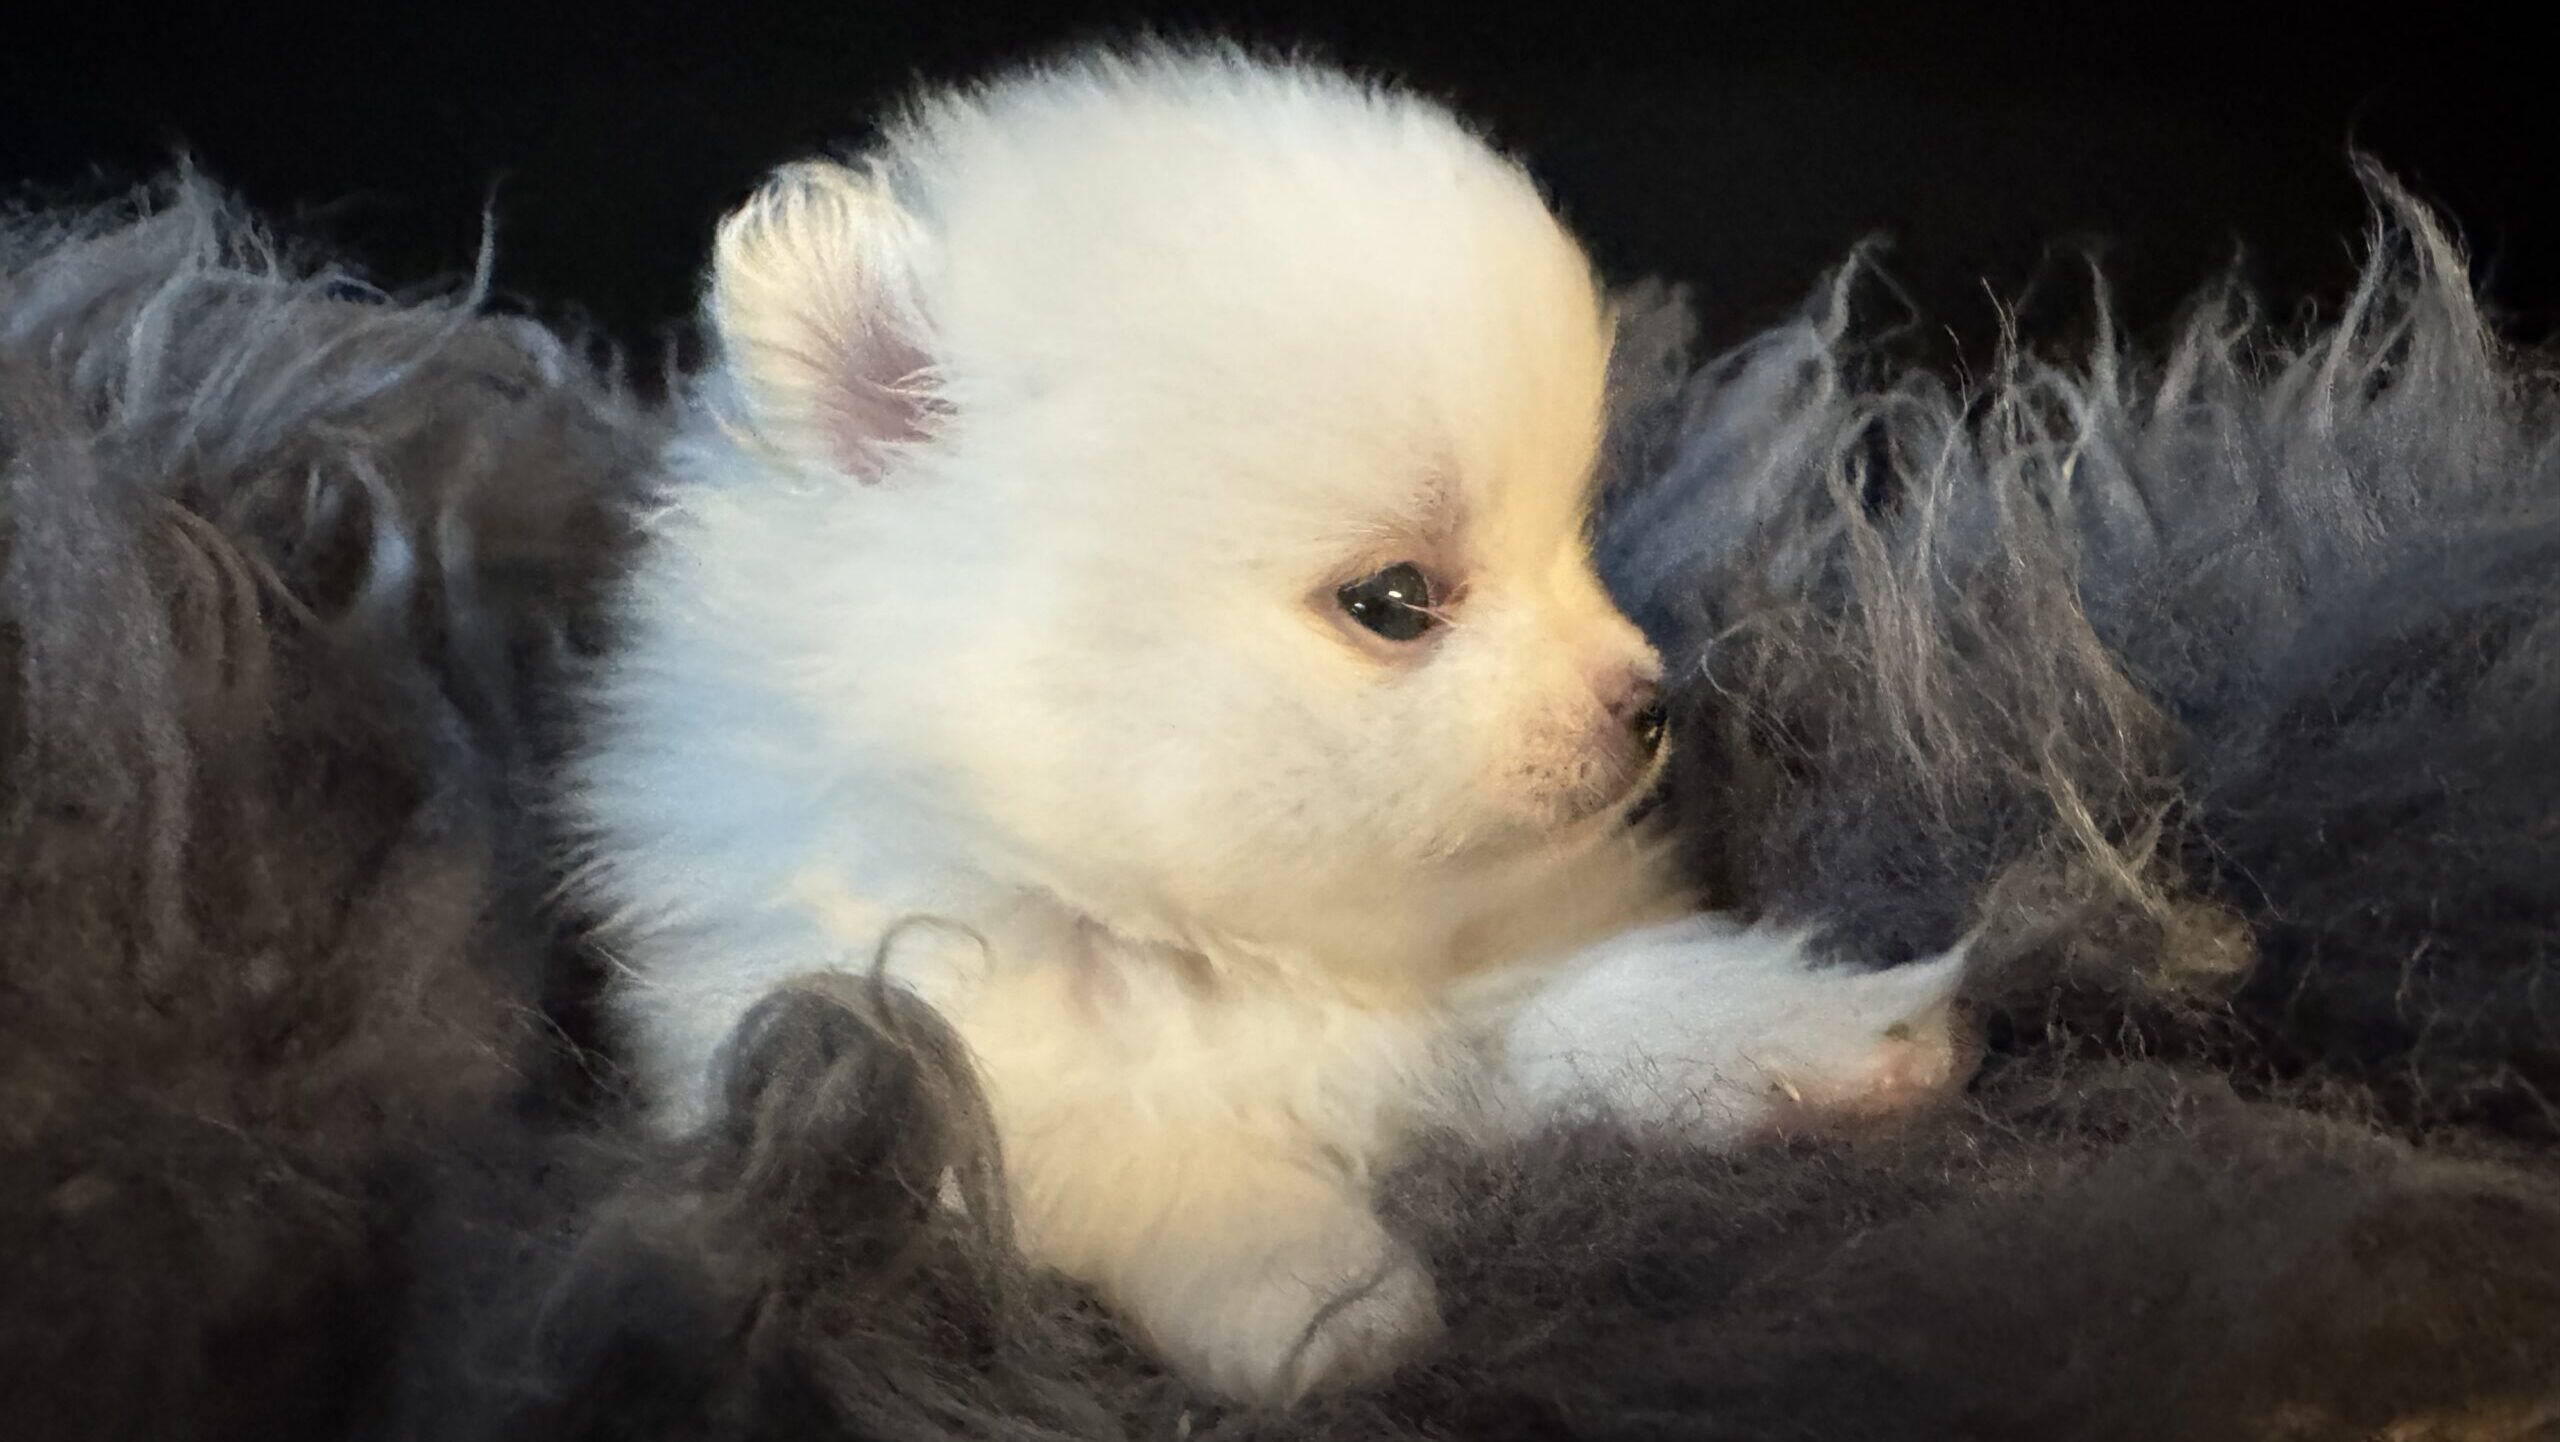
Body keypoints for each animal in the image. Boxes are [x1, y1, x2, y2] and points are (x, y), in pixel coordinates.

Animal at [566, 44, 1971, 1405]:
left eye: (1573, 538)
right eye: (1393, 600)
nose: (1648, 701)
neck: (1219, 941)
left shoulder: (1491, 970)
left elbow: (1606, 1001)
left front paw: (1829, 1038)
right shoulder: (936, 1074)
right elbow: (1164, 1163)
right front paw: (1328, 1303)